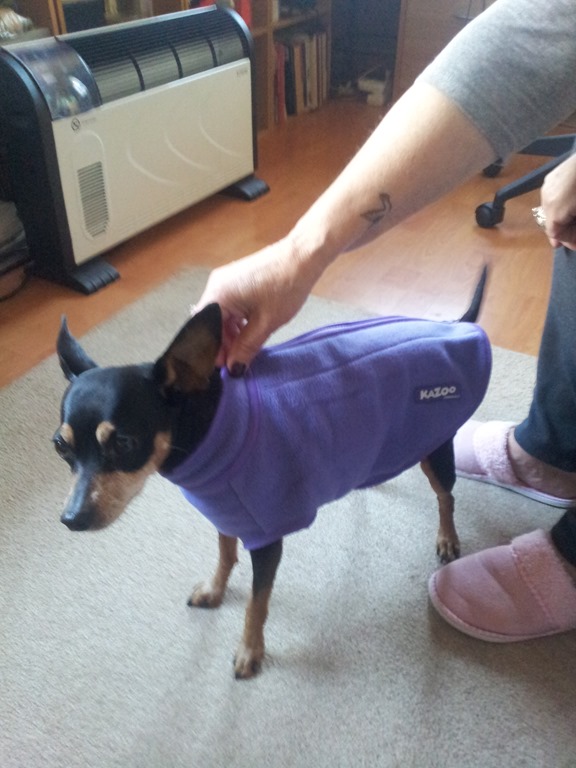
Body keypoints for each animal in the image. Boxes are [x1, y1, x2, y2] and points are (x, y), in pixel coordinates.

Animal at [54, 269, 490, 679]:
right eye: (60, 446)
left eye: (124, 443)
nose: (71, 519)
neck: (207, 431)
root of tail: (458, 326)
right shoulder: (227, 514)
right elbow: (225, 555)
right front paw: (214, 590)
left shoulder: (266, 539)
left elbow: (256, 602)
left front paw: (251, 651)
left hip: (436, 448)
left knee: (446, 496)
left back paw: (448, 538)